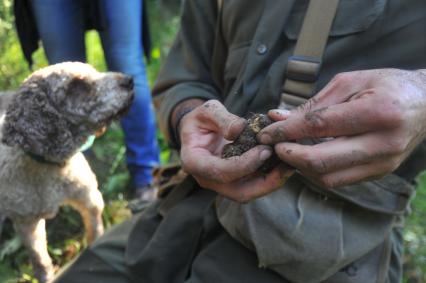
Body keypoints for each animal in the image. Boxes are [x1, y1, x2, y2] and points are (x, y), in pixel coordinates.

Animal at [0, 62, 135, 283]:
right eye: (76, 85)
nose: (130, 81)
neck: (48, 167)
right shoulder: (26, 222)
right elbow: (41, 263)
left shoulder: (89, 198)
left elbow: (95, 232)